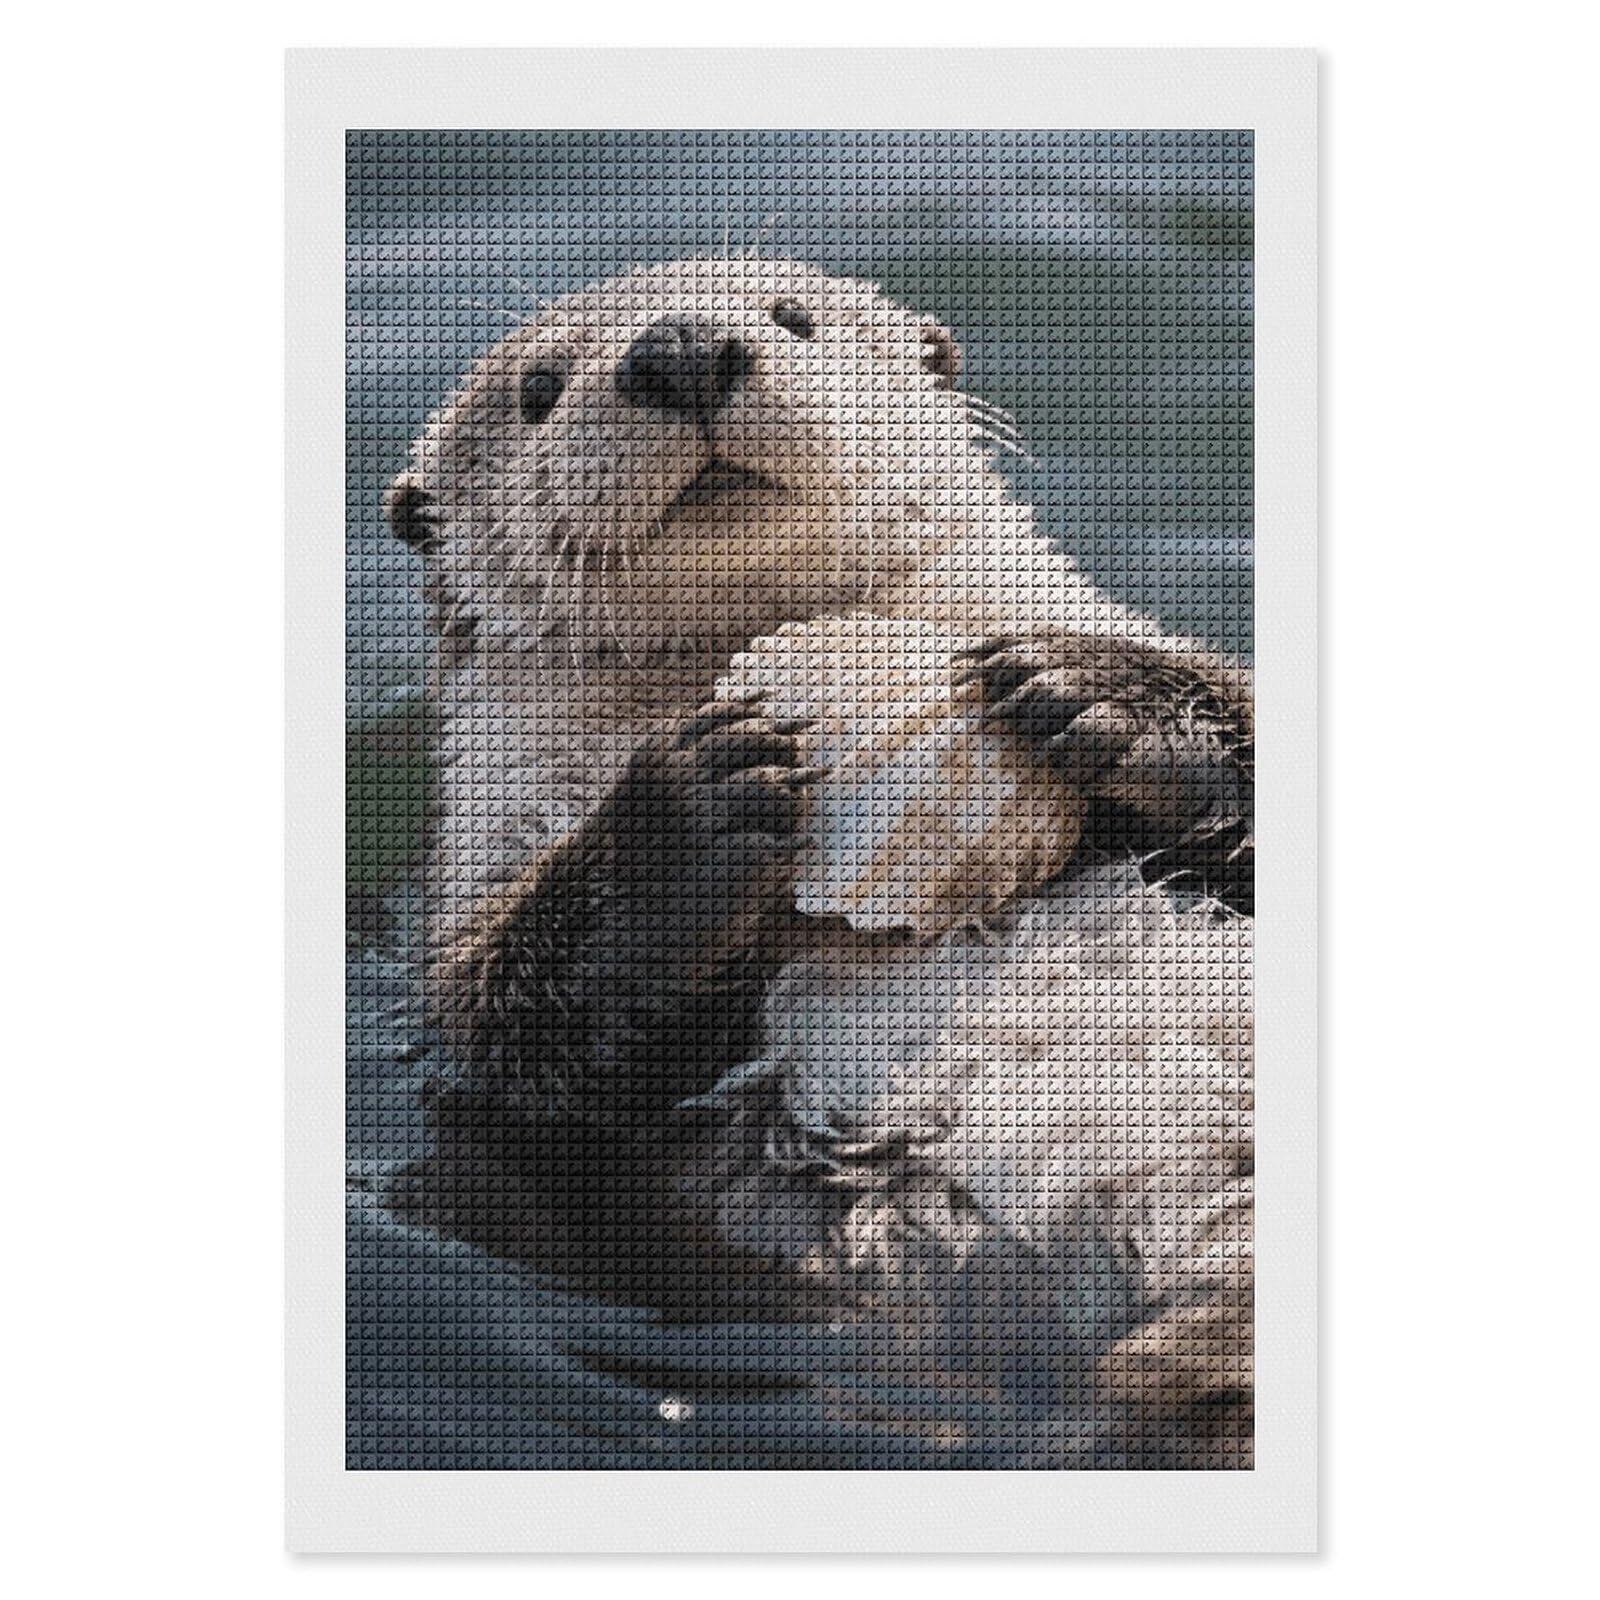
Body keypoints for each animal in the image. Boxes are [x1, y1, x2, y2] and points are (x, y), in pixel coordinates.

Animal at [384, 258, 1254, 1467]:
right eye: (537, 389)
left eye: (794, 318)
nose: (681, 346)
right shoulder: (477, 871)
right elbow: (518, 1042)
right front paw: (693, 805)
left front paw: (1099, 693)